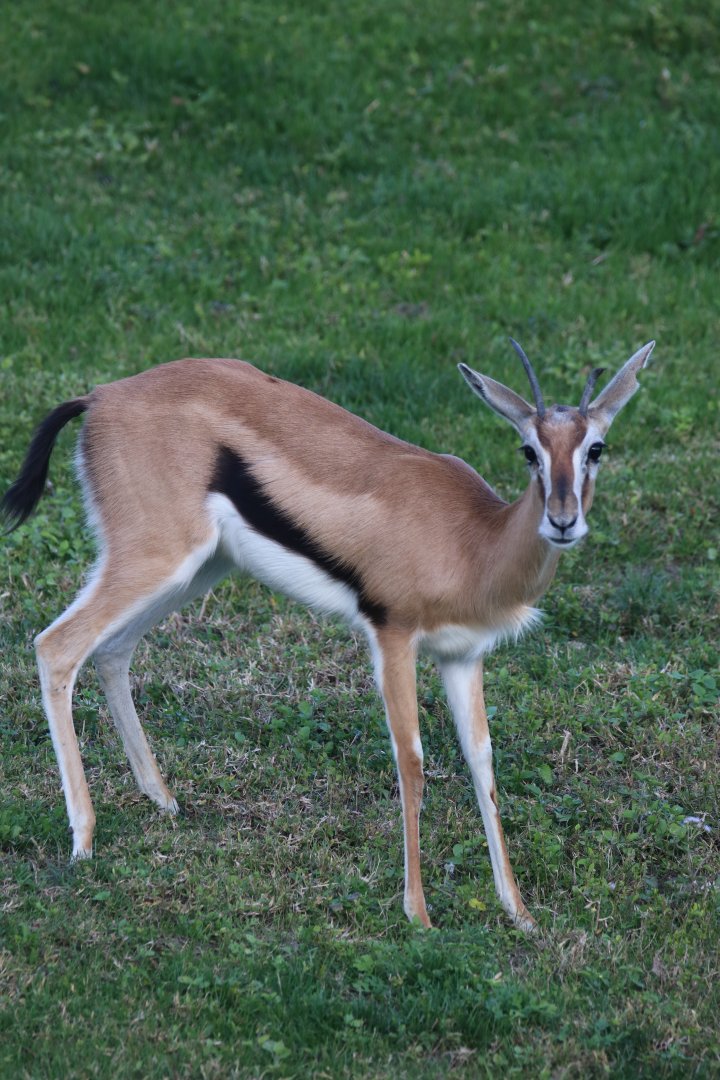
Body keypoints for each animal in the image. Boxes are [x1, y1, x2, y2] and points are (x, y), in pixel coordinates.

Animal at [2, 339, 654, 930]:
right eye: (529, 450)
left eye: (596, 448)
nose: (563, 521)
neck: (475, 539)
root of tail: (100, 396)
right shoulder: (392, 636)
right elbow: (412, 761)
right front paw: (419, 915)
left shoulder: (462, 657)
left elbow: (482, 762)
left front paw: (519, 912)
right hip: (155, 559)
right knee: (56, 646)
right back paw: (84, 841)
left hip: (196, 569)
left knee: (113, 651)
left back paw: (163, 801)